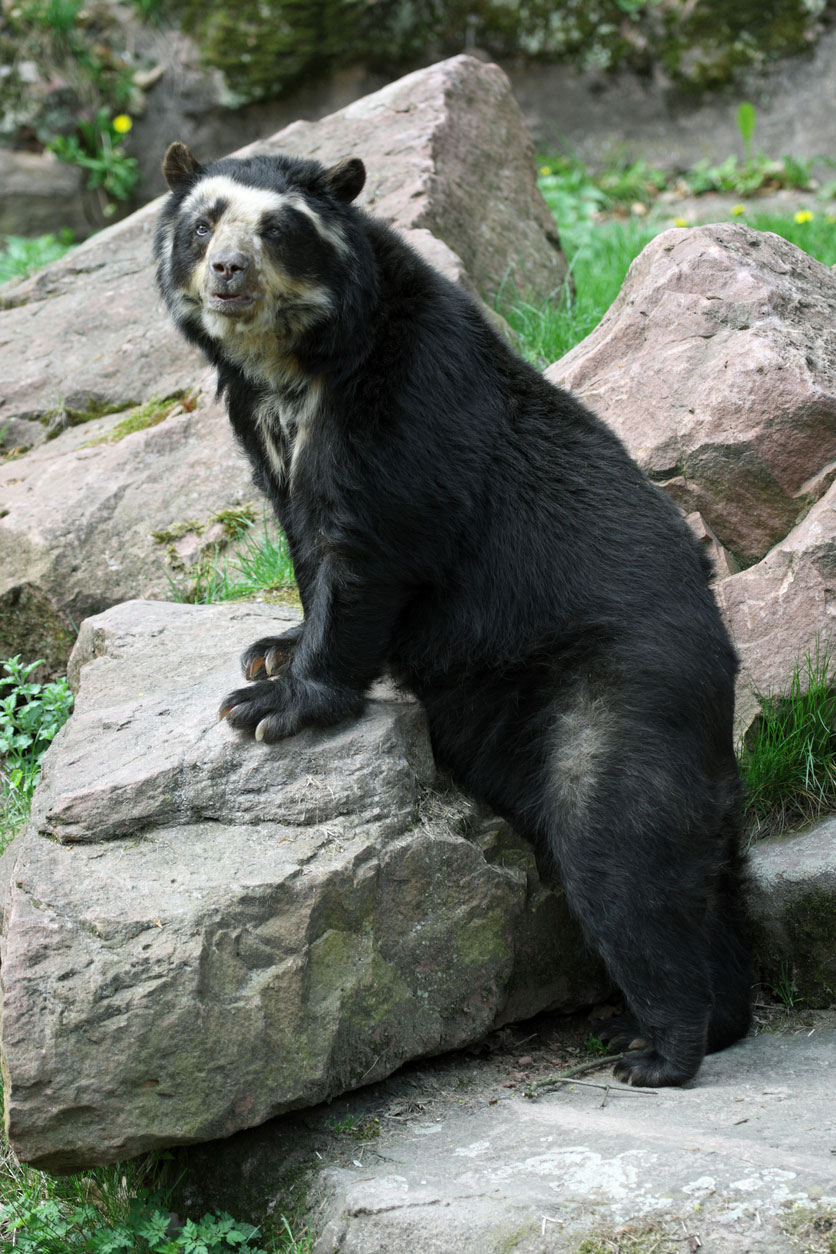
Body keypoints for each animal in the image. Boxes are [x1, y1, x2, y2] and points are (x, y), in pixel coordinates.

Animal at [153, 142, 757, 1088]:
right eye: (204, 222)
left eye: (278, 229)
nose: (226, 272)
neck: (294, 365)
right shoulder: (262, 432)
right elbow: (303, 543)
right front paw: (269, 650)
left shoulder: (401, 405)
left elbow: (369, 551)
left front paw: (272, 703)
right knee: (700, 871)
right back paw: (710, 1019)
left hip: (620, 691)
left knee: (616, 846)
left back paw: (658, 1049)